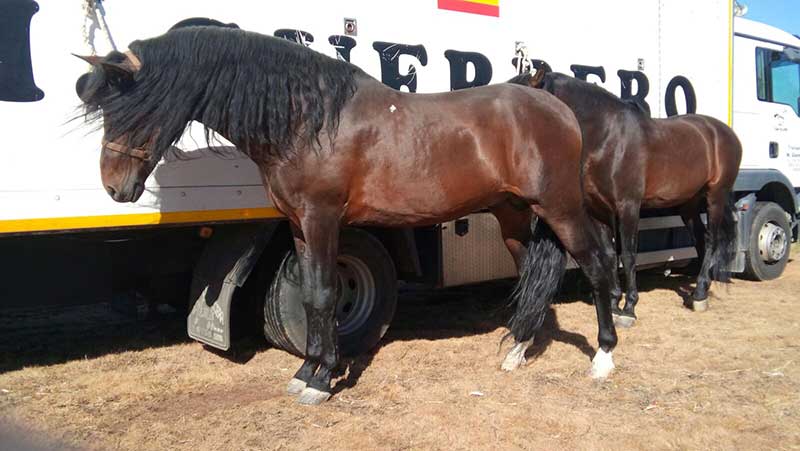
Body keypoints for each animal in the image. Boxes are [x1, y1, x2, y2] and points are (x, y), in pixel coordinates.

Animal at [76, 26, 620, 404]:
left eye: (139, 107)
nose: (115, 186)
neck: (308, 119)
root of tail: (558, 109)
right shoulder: (298, 223)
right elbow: (313, 295)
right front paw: (307, 372)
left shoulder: (322, 218)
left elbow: (323, 293)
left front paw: (320, 379)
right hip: (512, 215)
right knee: (534, 273)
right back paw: (516, 352)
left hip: (560, 207)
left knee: (596, 264)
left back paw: (604, 357)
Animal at [506, 69, 744, 340]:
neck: (608, 138)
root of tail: (724, 132)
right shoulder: (598, 210)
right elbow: (609, 255)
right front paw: (613, 303)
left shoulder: (628, 207)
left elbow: (629, 256)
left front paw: (629, 308)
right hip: (689, 205)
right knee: (701, 240)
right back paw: (700, 292)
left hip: (715, 196)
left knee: (713, 240)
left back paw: (701, 293)